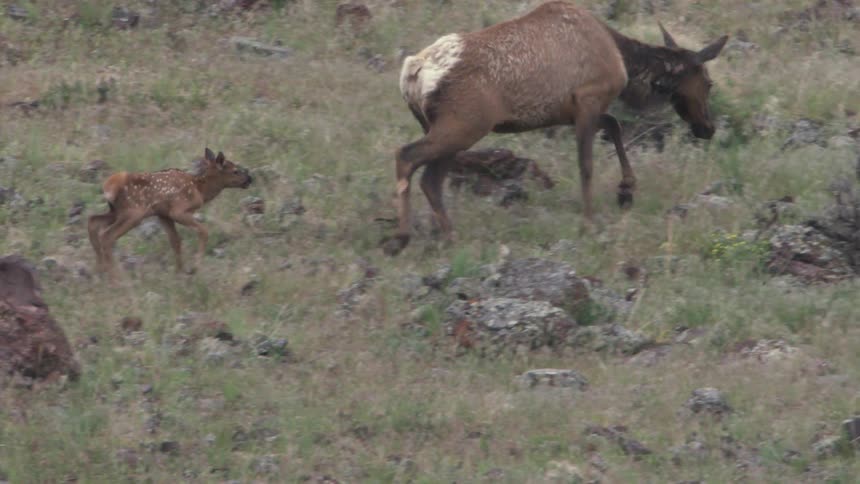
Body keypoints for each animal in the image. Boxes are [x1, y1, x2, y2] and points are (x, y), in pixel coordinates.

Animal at [87, 148, 253, 279]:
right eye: (235, 170)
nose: (250, 179)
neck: (200, 190)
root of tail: (109, 187)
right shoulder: (178, 210)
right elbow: (203, 231)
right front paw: (195, 267)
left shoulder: (163, 214)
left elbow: (175, 241)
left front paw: (180, 271)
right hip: (134, 213)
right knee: (107, 236)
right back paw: (115, 277)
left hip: (117, 211)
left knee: (93, 221)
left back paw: (99, 271)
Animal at [382, 0, 728, 255]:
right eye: (708, 83)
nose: (707, 128)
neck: (625, 63)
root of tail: (412, 72)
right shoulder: (588, 99)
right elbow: (587, 163)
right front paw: (589, 220)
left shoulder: (571, 111)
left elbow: (614, 126)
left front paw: (626, 188)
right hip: (463, 124)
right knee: (406, 156)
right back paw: (402, 237)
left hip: (447, 129)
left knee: (430, 179)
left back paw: (448, 235)